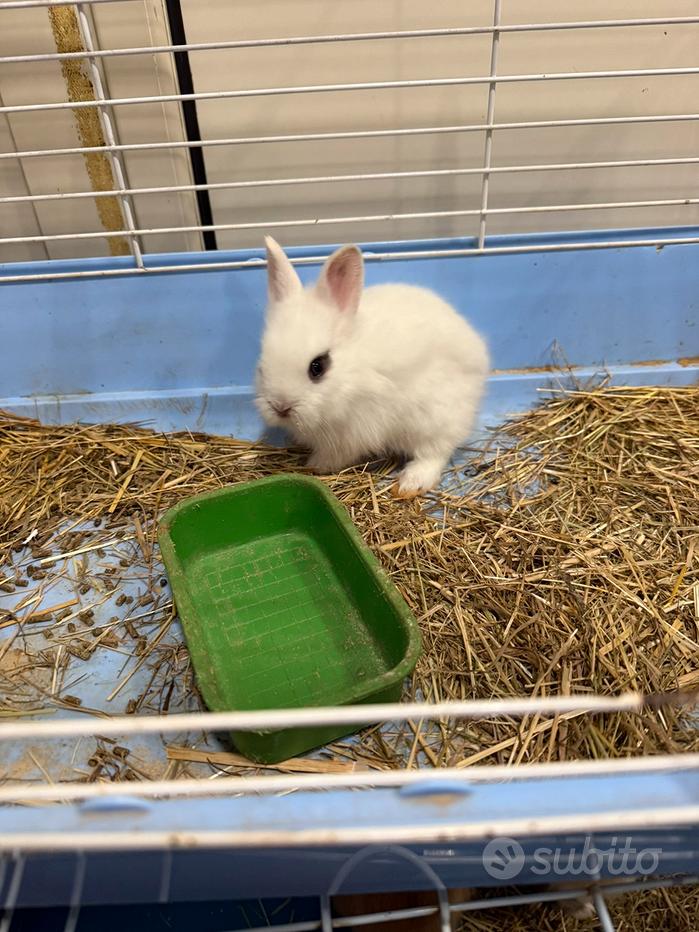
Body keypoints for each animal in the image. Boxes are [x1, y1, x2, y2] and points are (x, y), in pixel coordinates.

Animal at [255, 237, 489, 498]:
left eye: (318, 366)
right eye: (261, 365)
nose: (281, 407)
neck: (351, 373)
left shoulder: (354, 431)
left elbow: (337, 454)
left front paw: (315, 464)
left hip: (436, 416)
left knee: (435, 451)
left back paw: (410, 483)